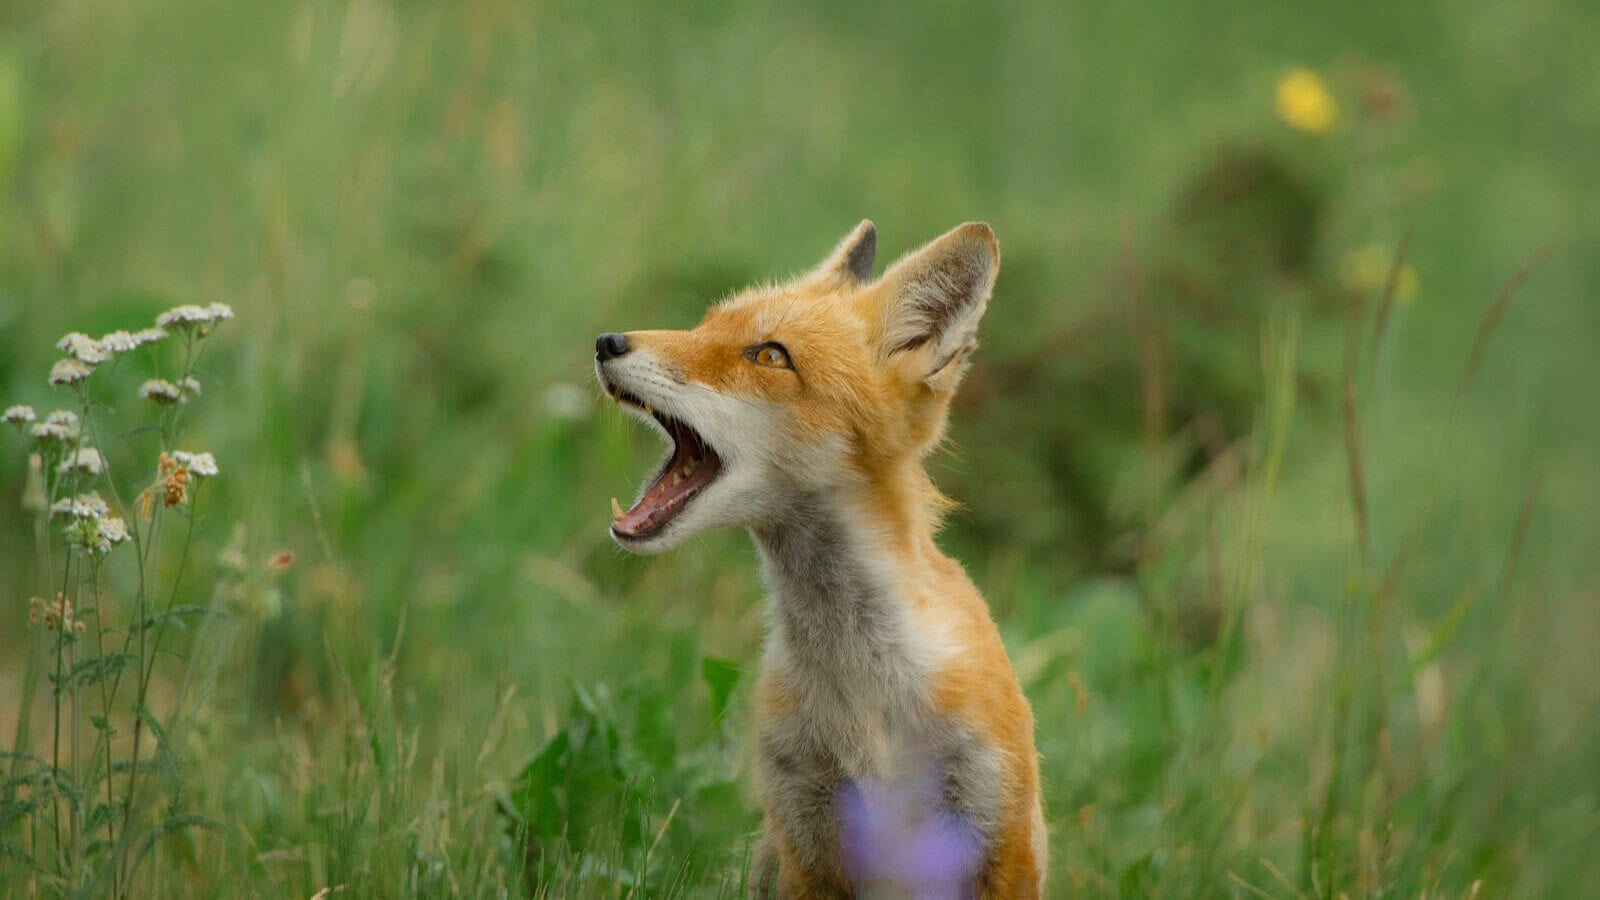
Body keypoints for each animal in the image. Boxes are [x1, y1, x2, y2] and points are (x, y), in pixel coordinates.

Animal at [594, 220, 1045, 898]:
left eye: (769, 356)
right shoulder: (806, 839)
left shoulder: (1000, 835)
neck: (860, 689)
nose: (606, 342)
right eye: (704, 326)